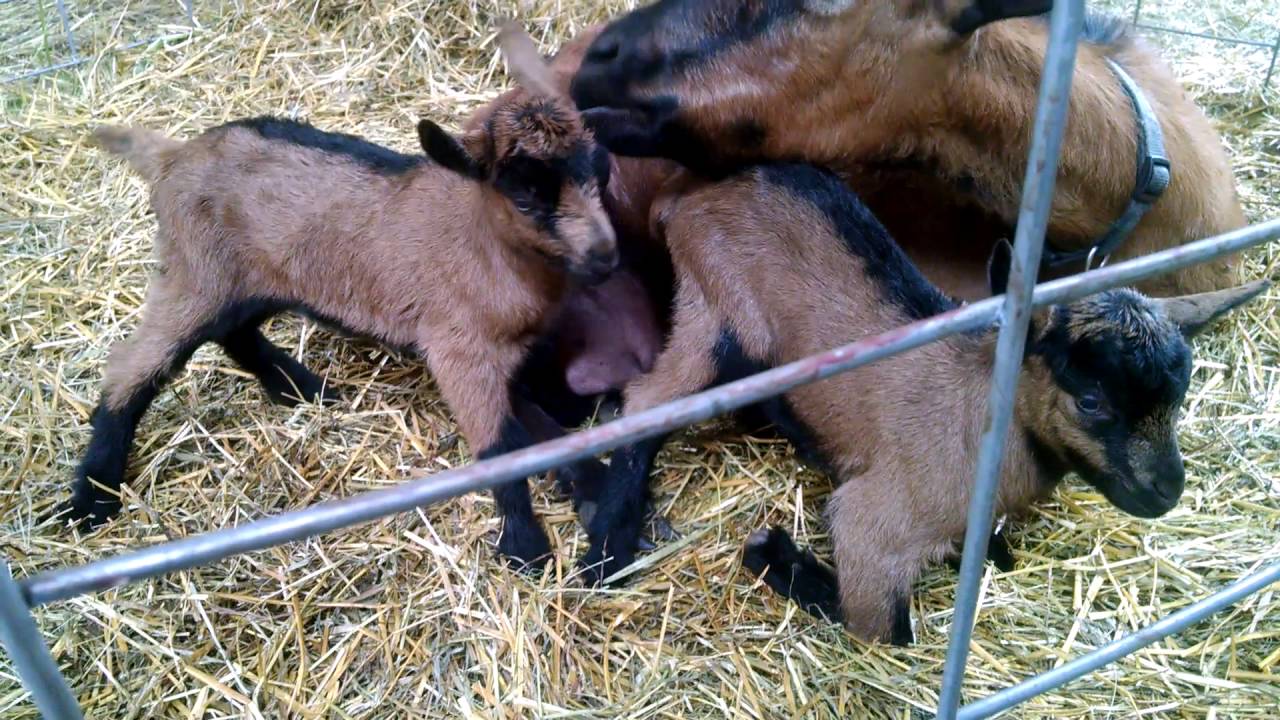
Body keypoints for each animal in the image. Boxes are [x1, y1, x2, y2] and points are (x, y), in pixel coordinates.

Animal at [65, 24, 615, 570]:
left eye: (602, 169)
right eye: (524, 196)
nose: (607, 256)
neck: (487, 240)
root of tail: (171, 157)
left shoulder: (506, 355)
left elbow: (540, 424)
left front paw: (589, 482)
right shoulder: (458, 350)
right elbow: (502, 447)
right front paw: (526, 546)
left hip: (248, 277)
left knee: (233, 332)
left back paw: (300, 388)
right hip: (194, 271)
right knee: (134, 366)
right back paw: (92, 498)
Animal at [578, 162, 1266, 644]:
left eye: (1180, 394)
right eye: (1091, 400)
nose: (1166, 491)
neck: (986, 417)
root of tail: (688, 199)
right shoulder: (873, 524)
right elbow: (883, 631)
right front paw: (770, 552)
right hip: (719, 318)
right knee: (643, 405)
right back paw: (606, 552)